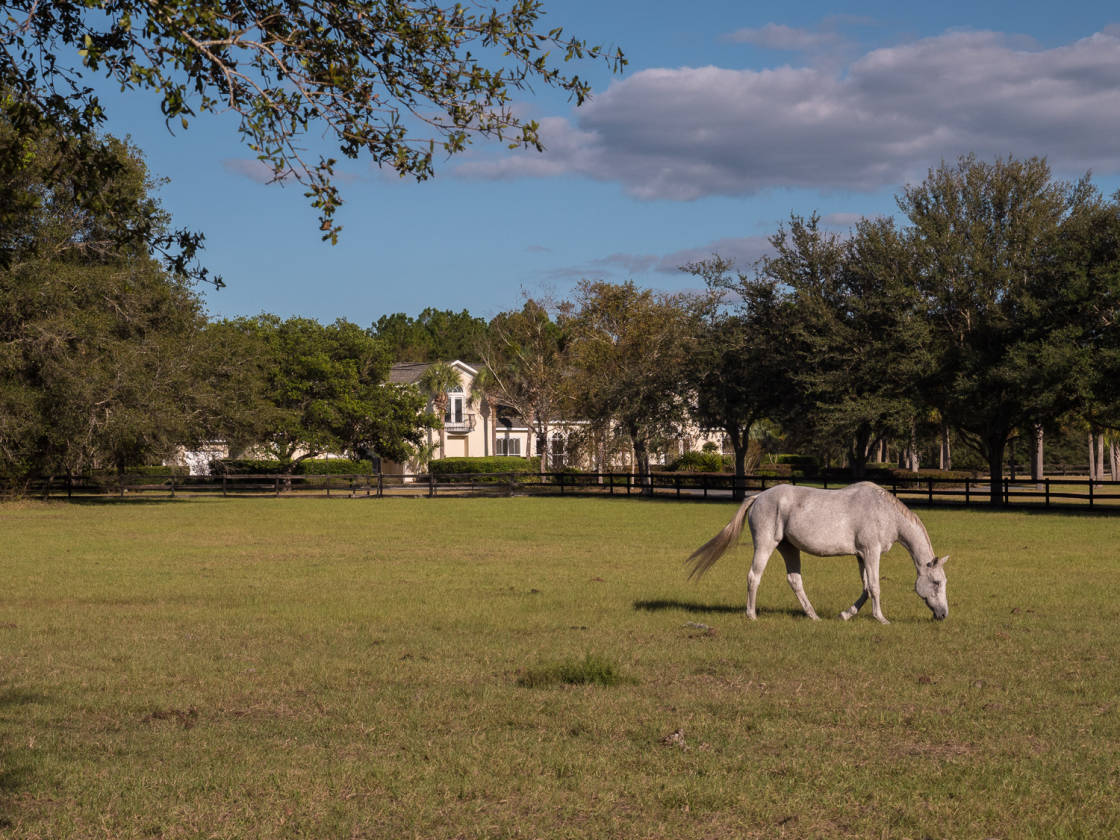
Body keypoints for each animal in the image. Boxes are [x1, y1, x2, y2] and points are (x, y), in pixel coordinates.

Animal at [686, 482, 949, 623]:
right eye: (936, 582)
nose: (943, 614)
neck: (884, 512)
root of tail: (759, 496)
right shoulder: (871, 552)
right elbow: (874, 586)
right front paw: (881, 618)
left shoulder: (861, 555)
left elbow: (865, 587)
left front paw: (845, 614)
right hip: (766, 544)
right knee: (754, 577)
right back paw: (751, 614)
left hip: (789, 548)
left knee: (794, 580)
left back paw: (813, 616)